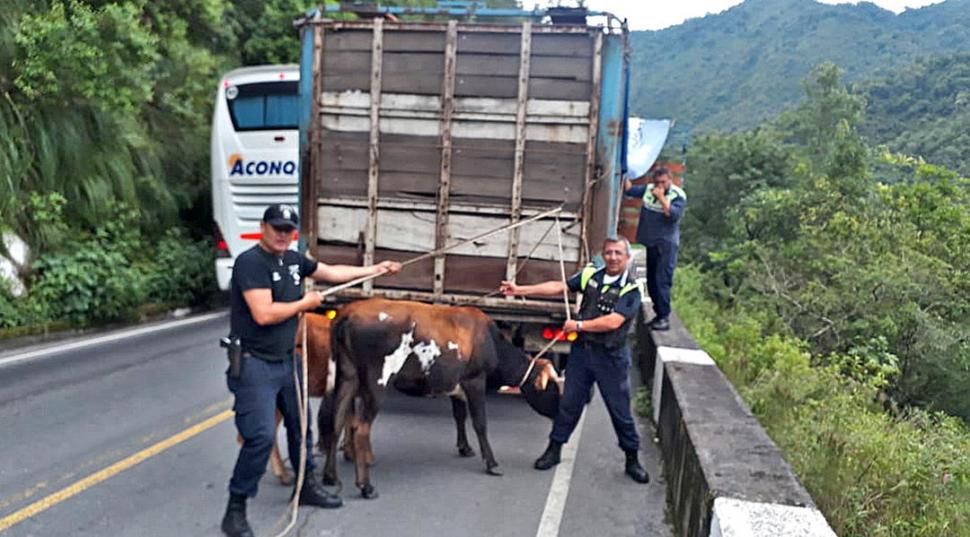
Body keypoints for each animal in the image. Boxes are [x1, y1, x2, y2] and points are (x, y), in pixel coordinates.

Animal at [320, 298, 560, 498]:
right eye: (552, 389)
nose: (558, 413)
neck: (492, 341)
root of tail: (349, 312)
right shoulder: (475, 380)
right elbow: (480, 422)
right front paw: (491, 463)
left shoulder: (455, 384)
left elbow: (460, 416)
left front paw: (465, 448)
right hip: (376, 381)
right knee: (360, 428)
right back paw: (366, 486)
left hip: (347, 376)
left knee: (336, 420)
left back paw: (330, 476)